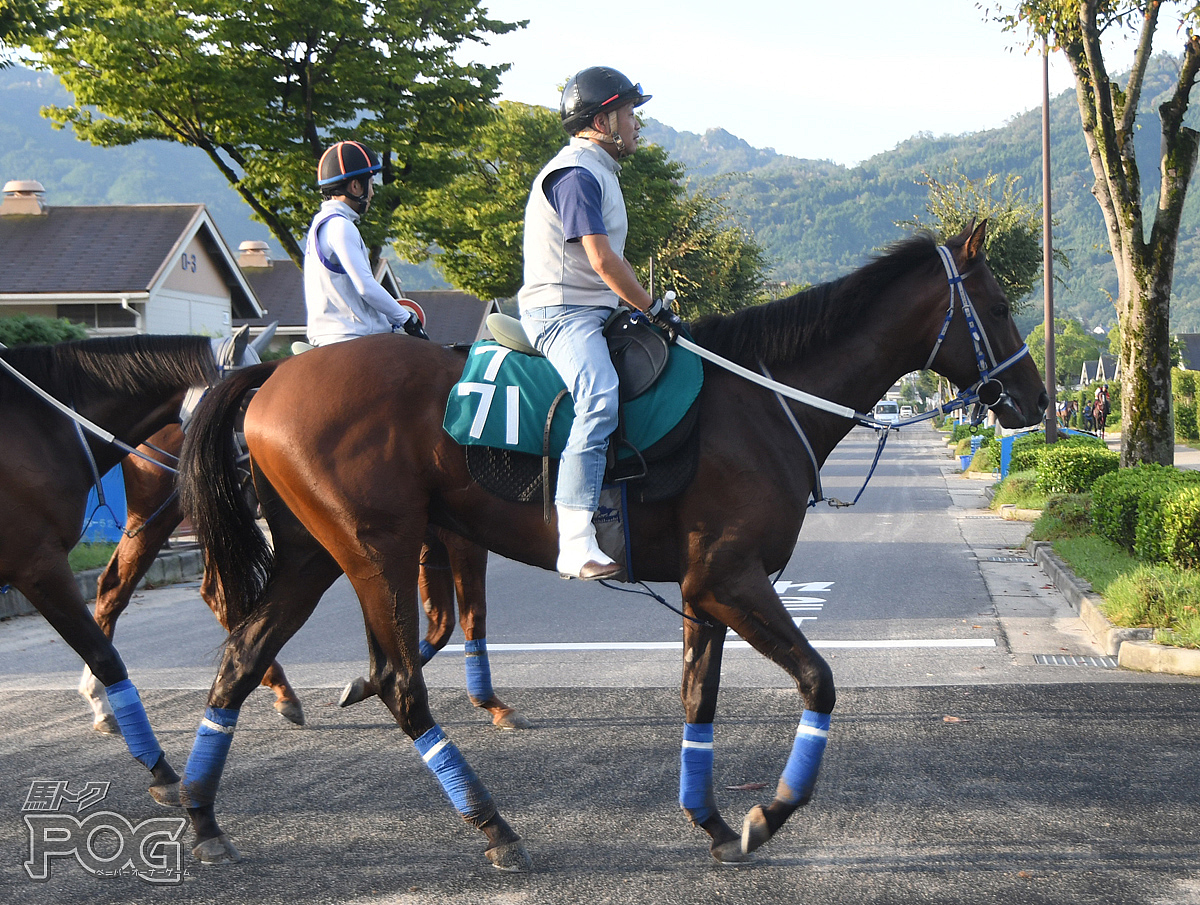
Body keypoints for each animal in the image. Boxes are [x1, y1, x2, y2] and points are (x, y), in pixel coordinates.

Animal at [177, 224, 1051, 868]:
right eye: (1001, 303)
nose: (1037, 399)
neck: (762, 400)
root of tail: (273, 376)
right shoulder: (733, 576)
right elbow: (819, 680)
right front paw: (767, 811)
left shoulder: (703, 586)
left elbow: (699, 698)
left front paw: (709, 818)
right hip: (375, 550)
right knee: (397, 682)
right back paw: (493, 824)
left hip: (312, 553)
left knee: (244, 654)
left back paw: (203, 815)